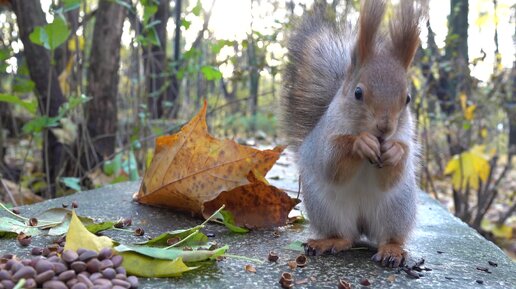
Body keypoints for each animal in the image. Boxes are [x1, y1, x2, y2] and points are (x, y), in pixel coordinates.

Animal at [280, 0, 422, 266]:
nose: (385, 128)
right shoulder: (325, 139)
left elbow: (393, 175)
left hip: (397, 209)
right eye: (358, 93)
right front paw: (360, 143)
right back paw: (329, 242)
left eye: (407, 99)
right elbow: (332, 164)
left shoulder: (405, 138)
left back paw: (392, 250)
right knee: (346, 236)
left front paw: (395, 152)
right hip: (328, 209)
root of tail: (363, 224)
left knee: (388, 237)